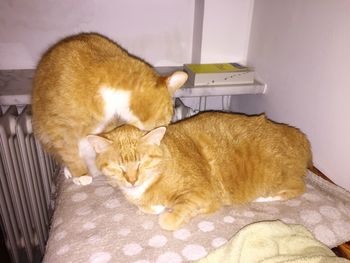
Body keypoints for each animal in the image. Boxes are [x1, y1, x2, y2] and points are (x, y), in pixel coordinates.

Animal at [31, 33, 187, 186]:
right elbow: (69, 152)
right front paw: (80, 174)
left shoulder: (108, 126)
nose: (163, 133)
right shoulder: (58, 127)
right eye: (164, 121)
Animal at [87, 112, 312, 231]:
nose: (132, 180)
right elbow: (147, 206)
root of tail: (296, 133)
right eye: (119, 167)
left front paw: (167, 214)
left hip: (277, 177)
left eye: (141, 163)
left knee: (298, 187)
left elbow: (173, 216)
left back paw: (265, 198)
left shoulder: (202, 194)